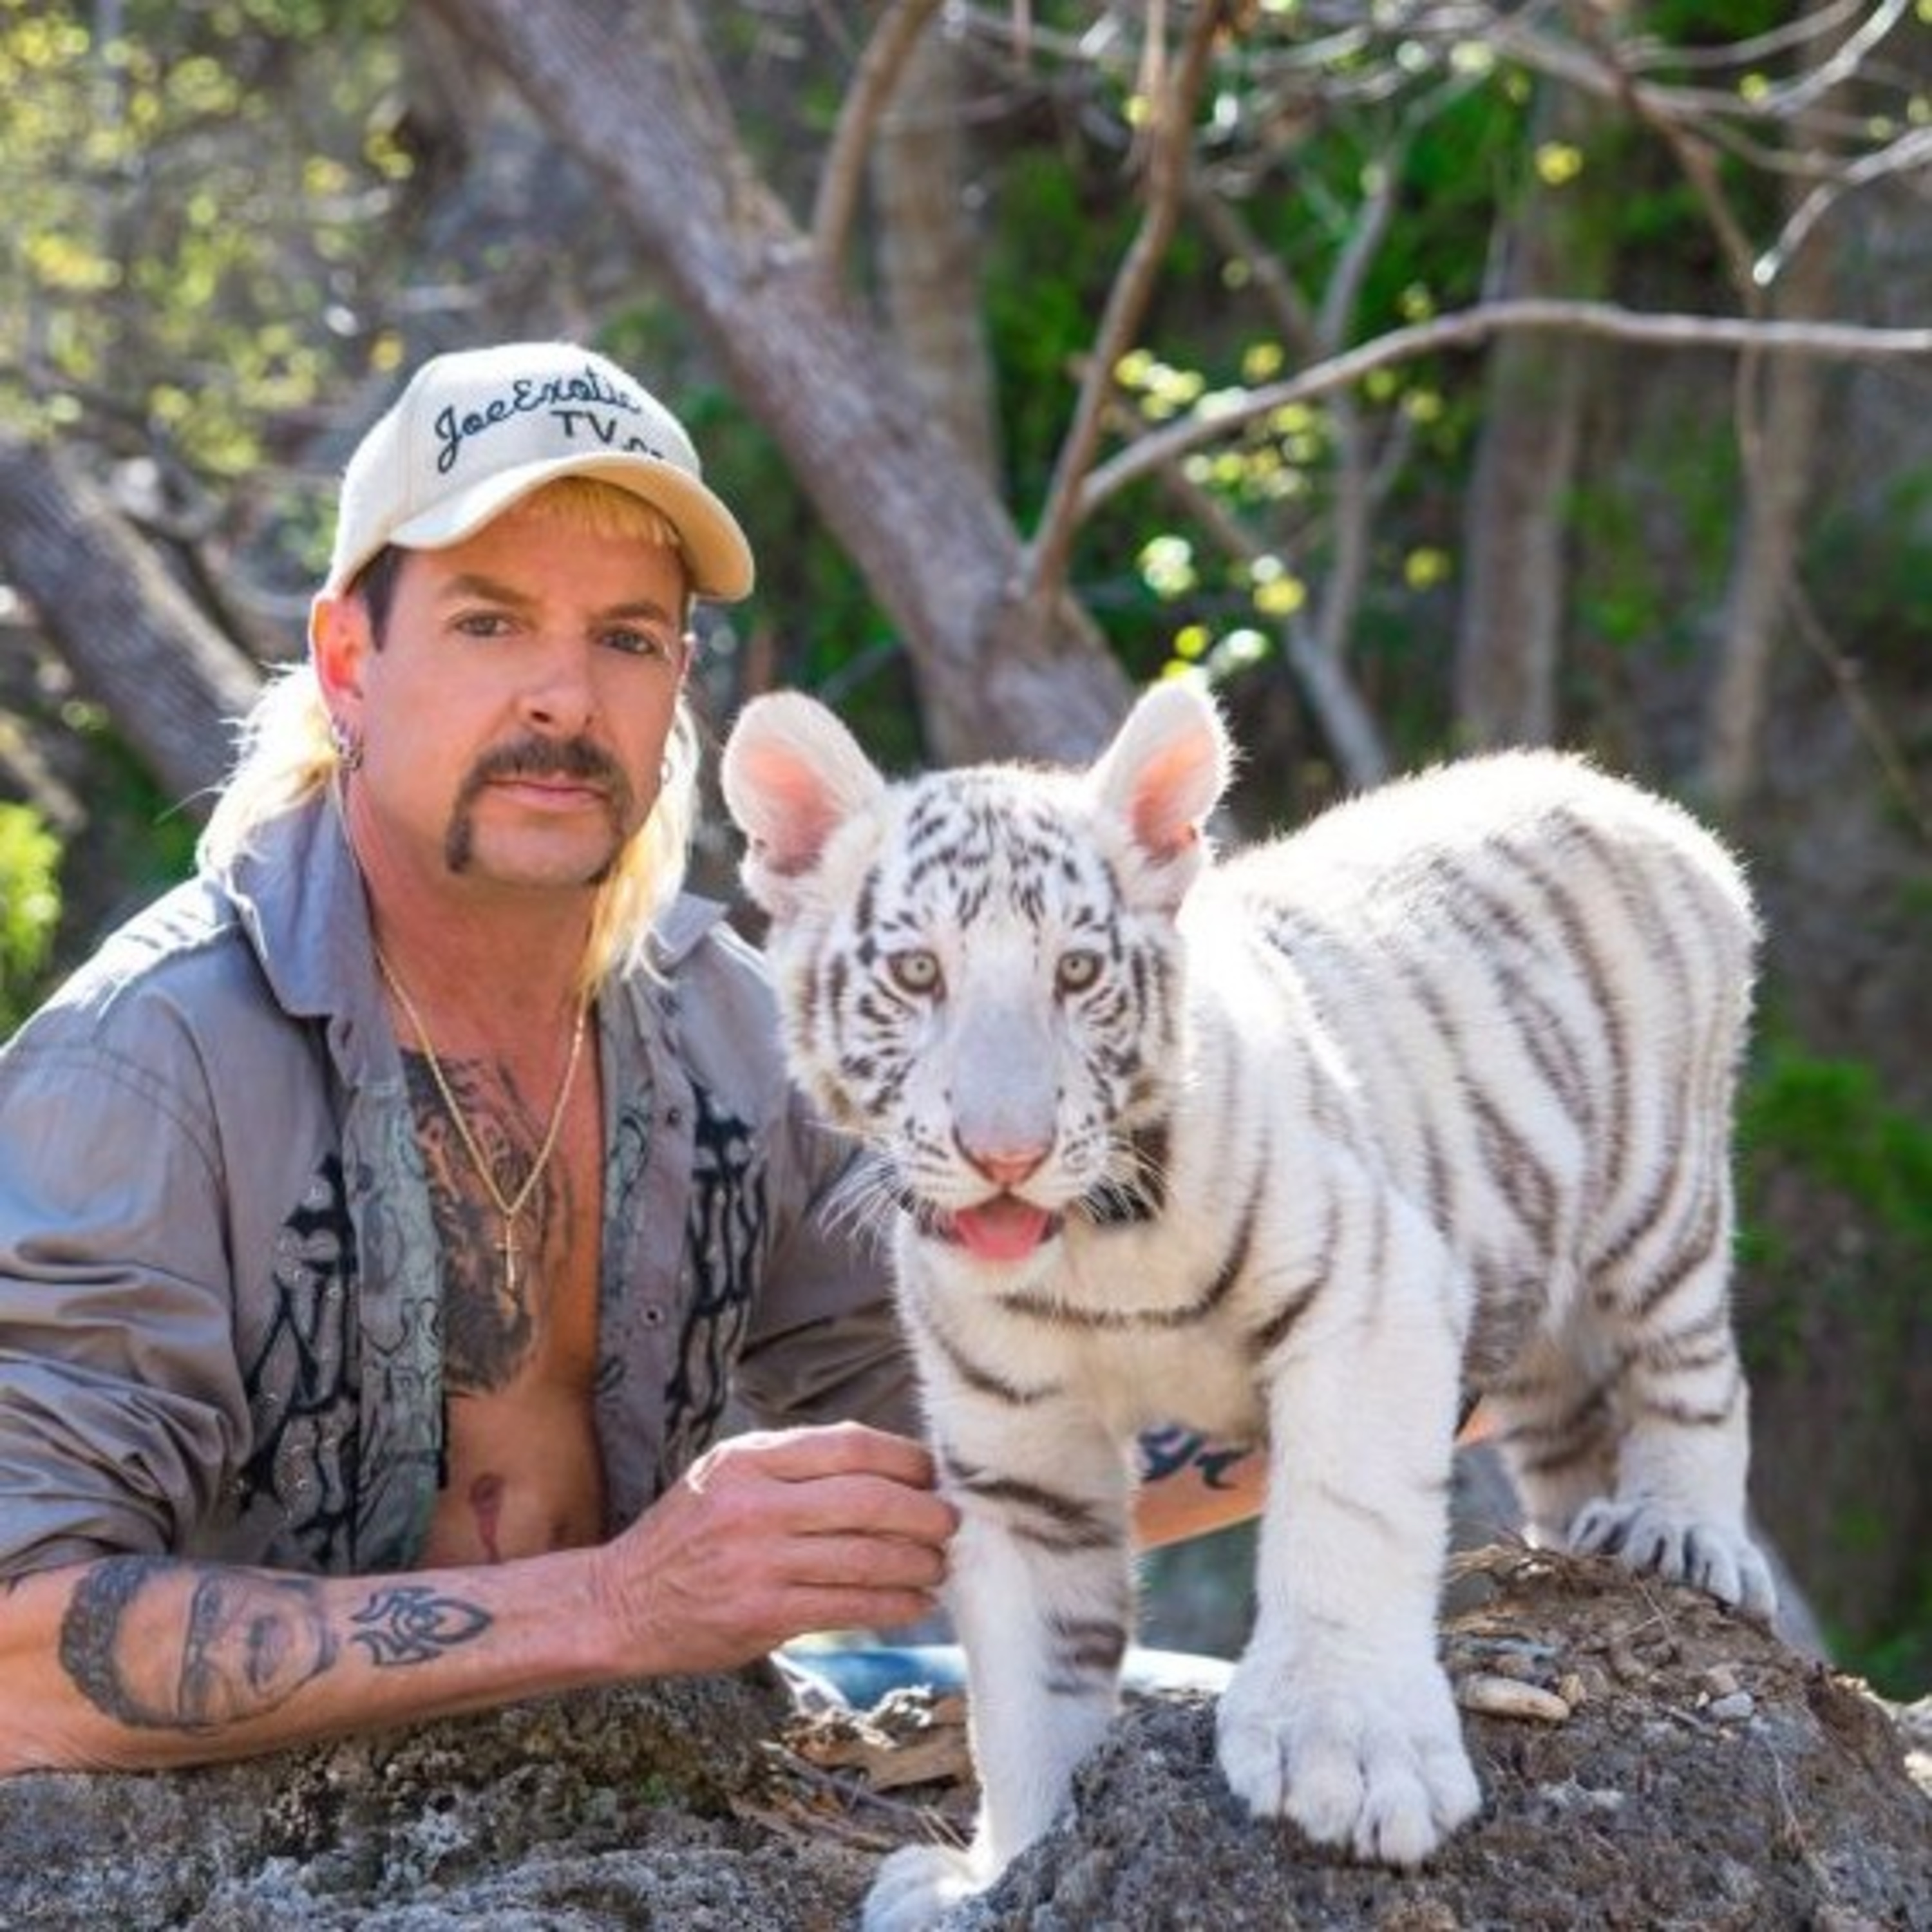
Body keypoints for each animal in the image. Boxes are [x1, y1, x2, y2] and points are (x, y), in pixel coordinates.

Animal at [719, 678, 1776, 1930]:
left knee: (1695, 1371)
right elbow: (1029, 1683)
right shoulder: (1018, 1447)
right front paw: (1006, 1872)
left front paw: (1349, 1757)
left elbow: (1346, 1519)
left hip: (1661, 1200)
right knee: (1568, 1432)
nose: (1006, 1155)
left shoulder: (1372, 1291)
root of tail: (1622, 792)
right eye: (918, 975)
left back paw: (1680, 1532)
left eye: (1077, 974)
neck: (1090, 1253)